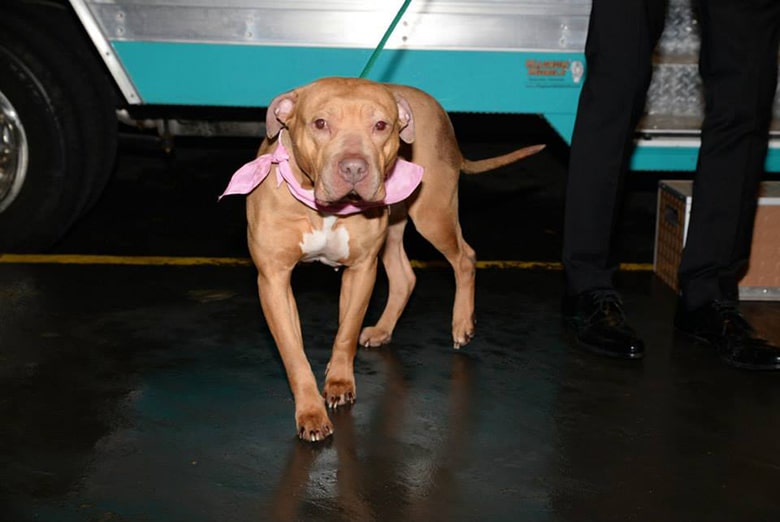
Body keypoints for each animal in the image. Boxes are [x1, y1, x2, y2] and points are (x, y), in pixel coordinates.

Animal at [222, 76, 544, 438]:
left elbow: (346, 333)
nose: (353, 168)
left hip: (434, 214)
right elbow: (293, 352)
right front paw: (310, 412)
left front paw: (339, 382)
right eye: (320, 123)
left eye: (380, 125)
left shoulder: (361, 270)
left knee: (464, 257)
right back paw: (383, 330)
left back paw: (462, 323)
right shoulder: (274, 280)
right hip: (394, 229)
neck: (323, 207)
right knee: (406, 277)